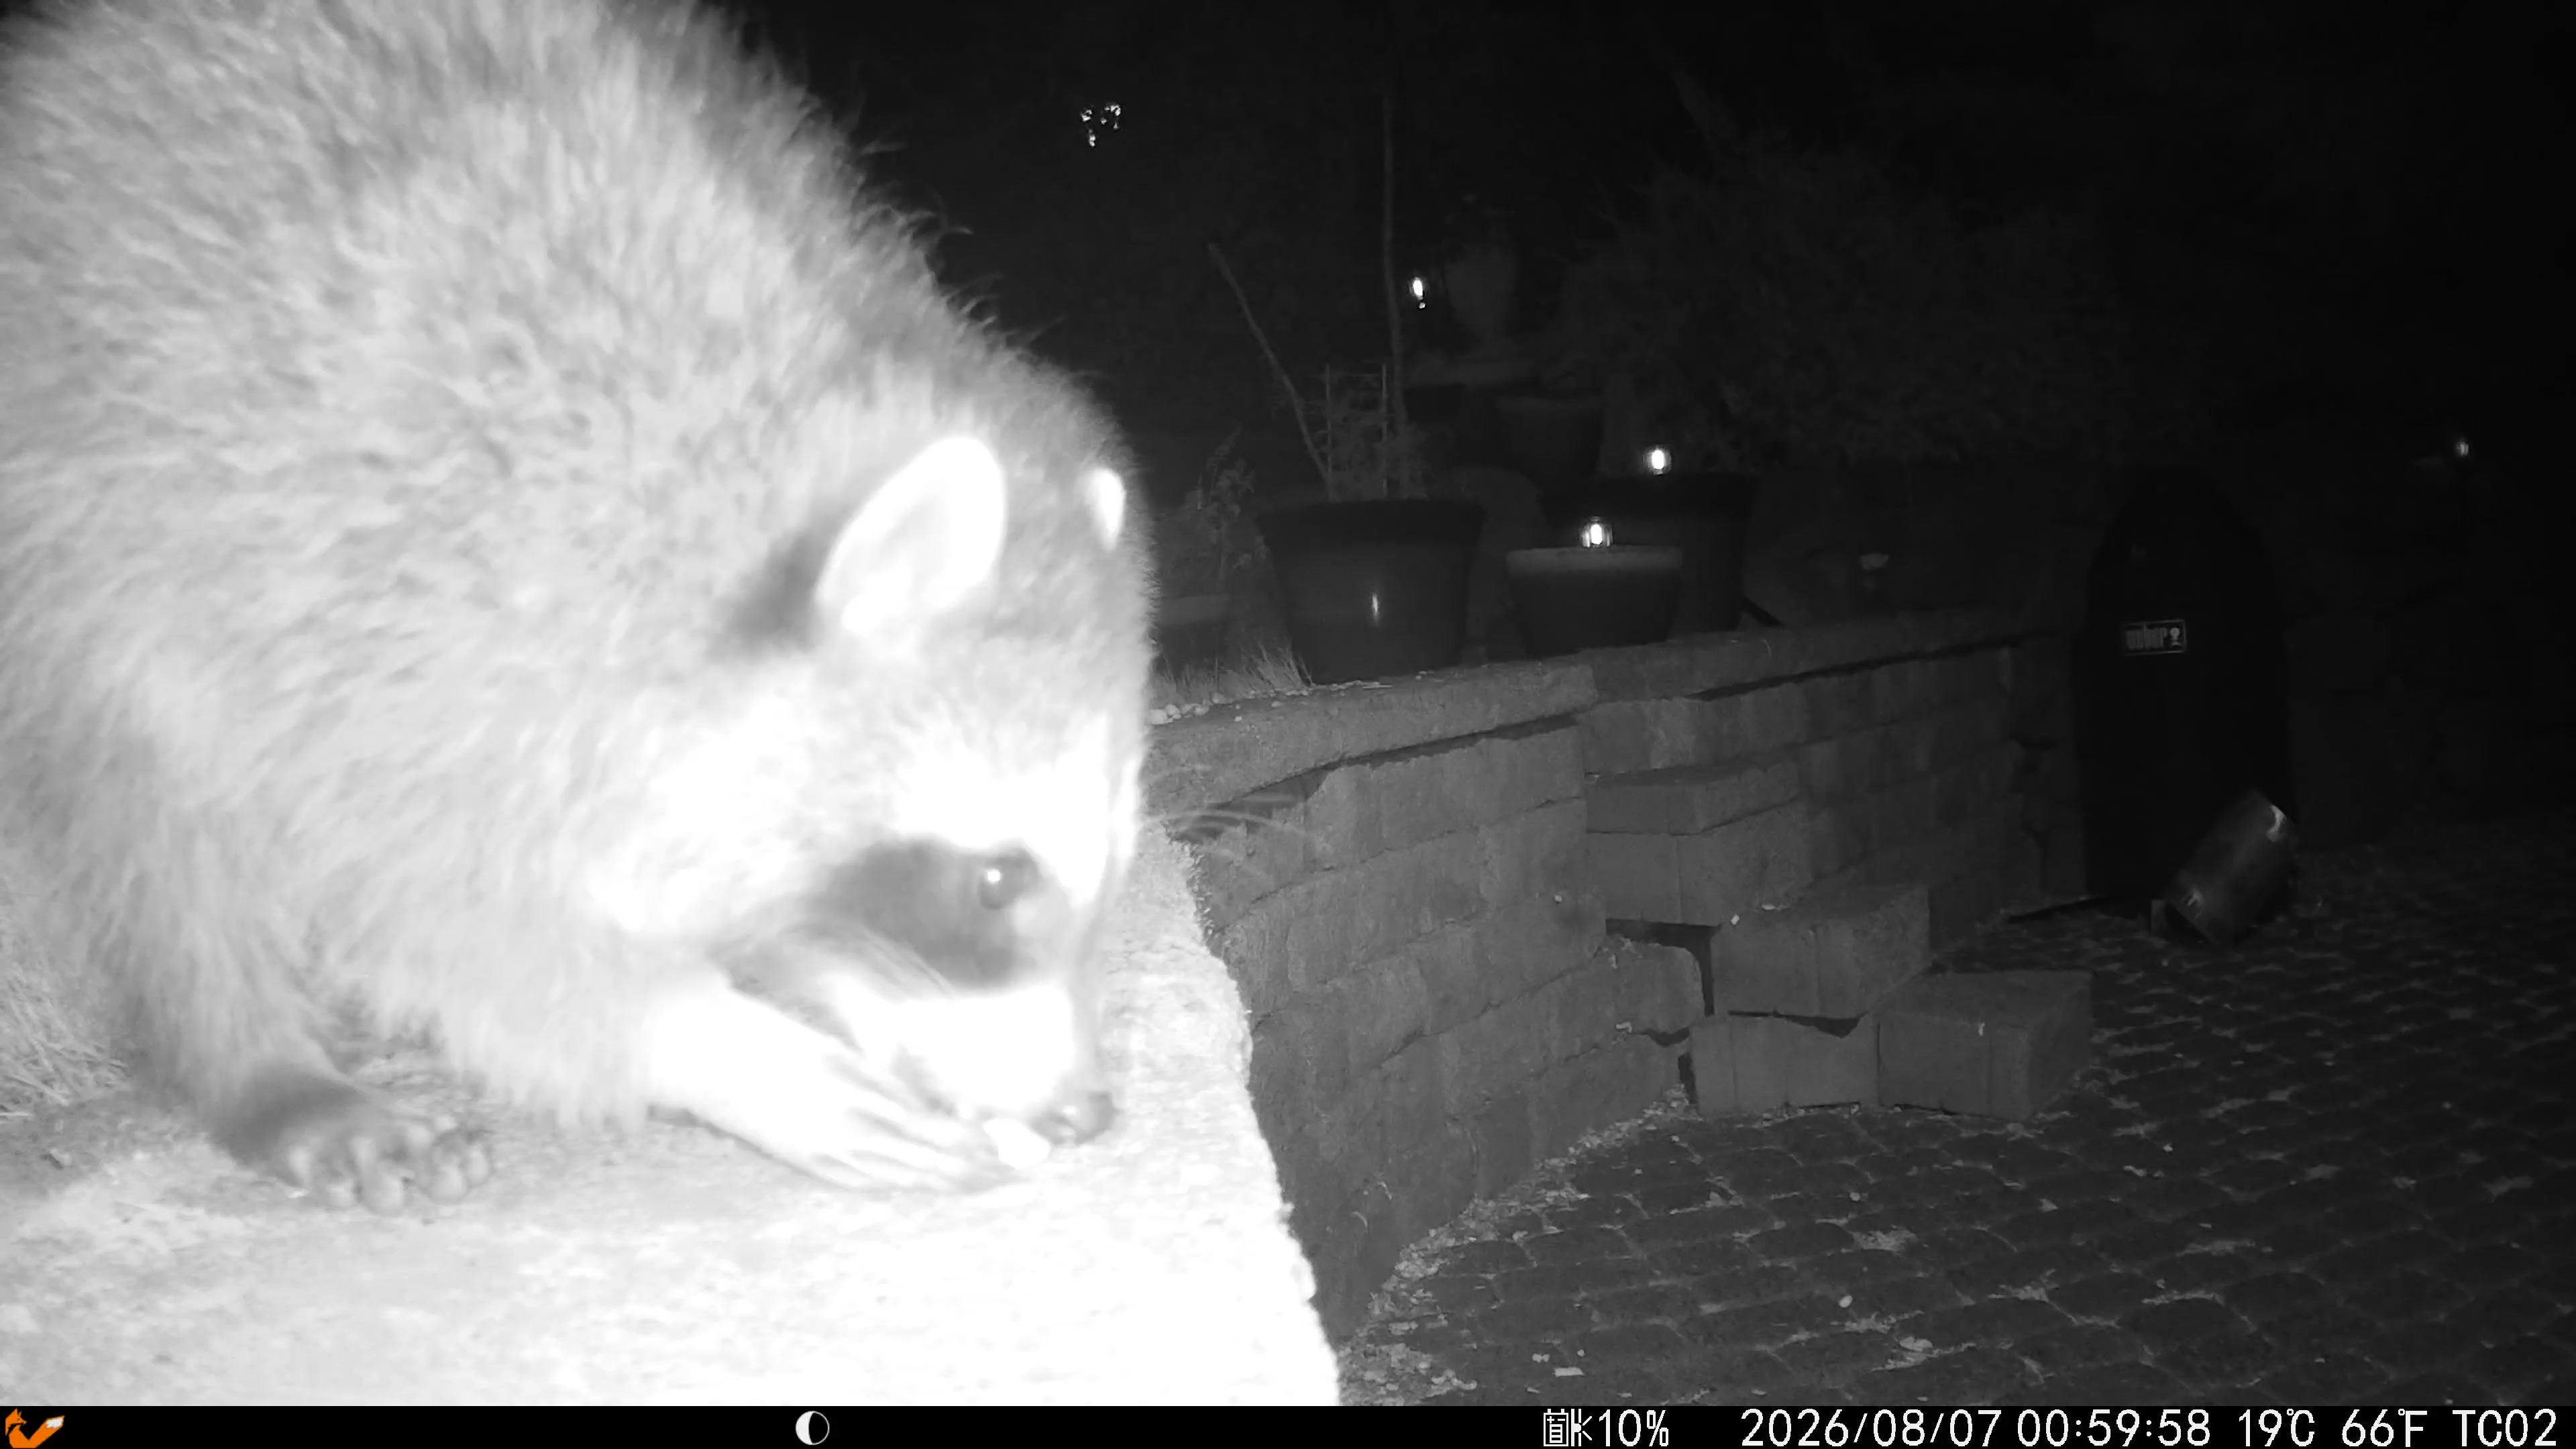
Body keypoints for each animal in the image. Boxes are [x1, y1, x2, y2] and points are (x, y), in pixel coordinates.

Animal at [0, 0, 1154, 1212]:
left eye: (1117, 859)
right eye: (997, 881)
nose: (1086, 1111)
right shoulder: (372, 604)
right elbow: (425, 900)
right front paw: (707, 1039)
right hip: (82, 543)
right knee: (152, 814)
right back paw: (259, 1058)